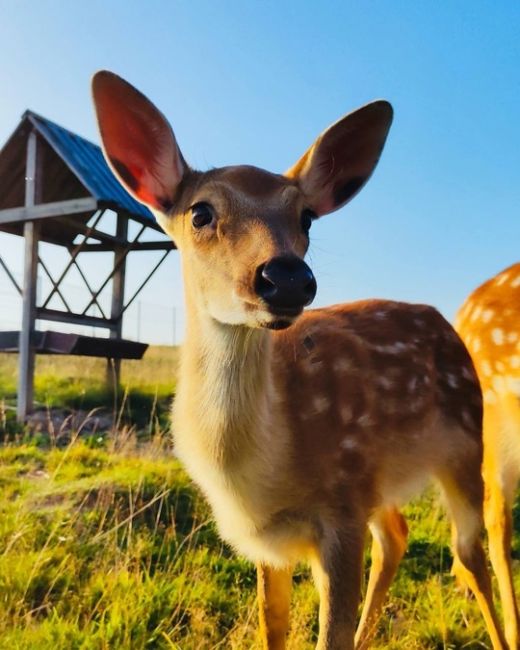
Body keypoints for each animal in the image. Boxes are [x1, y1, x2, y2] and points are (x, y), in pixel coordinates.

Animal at [92, 71, 508, 648]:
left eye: (307, 216)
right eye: (200, 212)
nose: (286, 276)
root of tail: (445, 320)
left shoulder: (341, 509)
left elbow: (328, 632)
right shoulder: (270, 540)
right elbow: (276, 627)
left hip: (466, 440)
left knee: (470, 552)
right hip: (381, 478)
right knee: (397, 536)